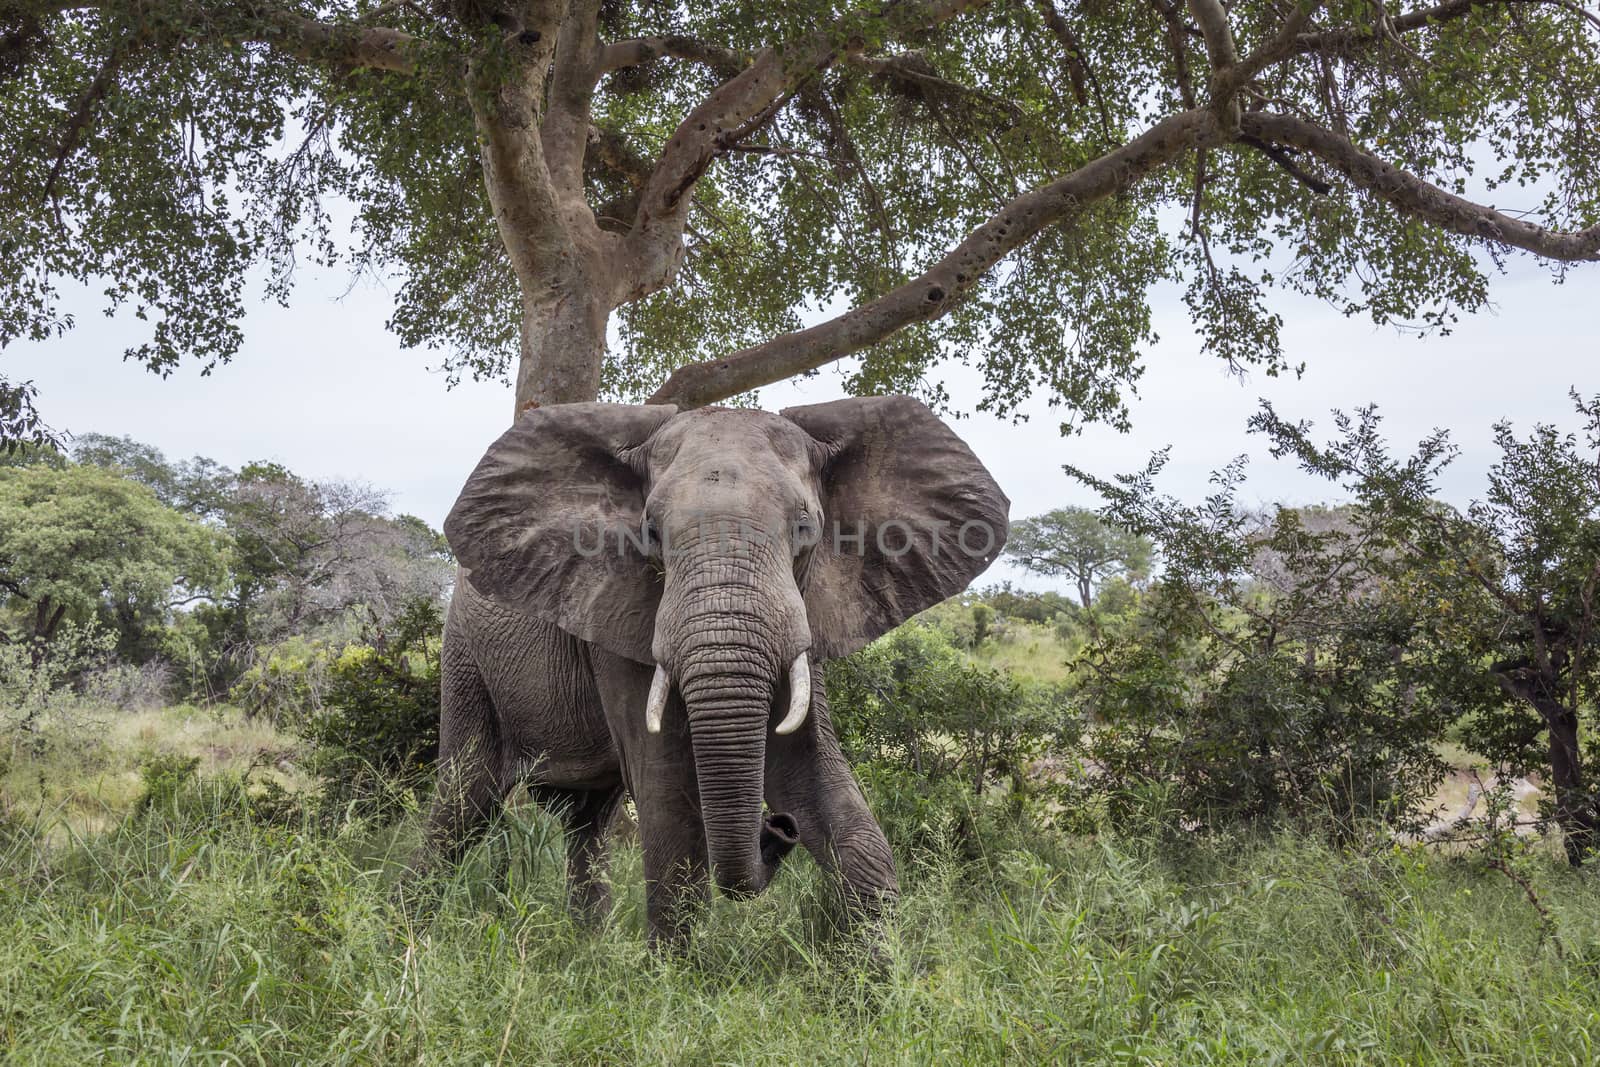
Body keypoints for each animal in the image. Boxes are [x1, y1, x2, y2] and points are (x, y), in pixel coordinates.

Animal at [419, 395, 1004, 940]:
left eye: (805, 528)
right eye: (651, 533)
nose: (779, 829)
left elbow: (812, 772)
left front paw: (878, 972)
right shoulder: (619, 614)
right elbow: (670, 802)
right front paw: (675, 977)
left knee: (587, 824)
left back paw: (591, 950)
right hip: (465, 658)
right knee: (462, 803)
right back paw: (414, 934)